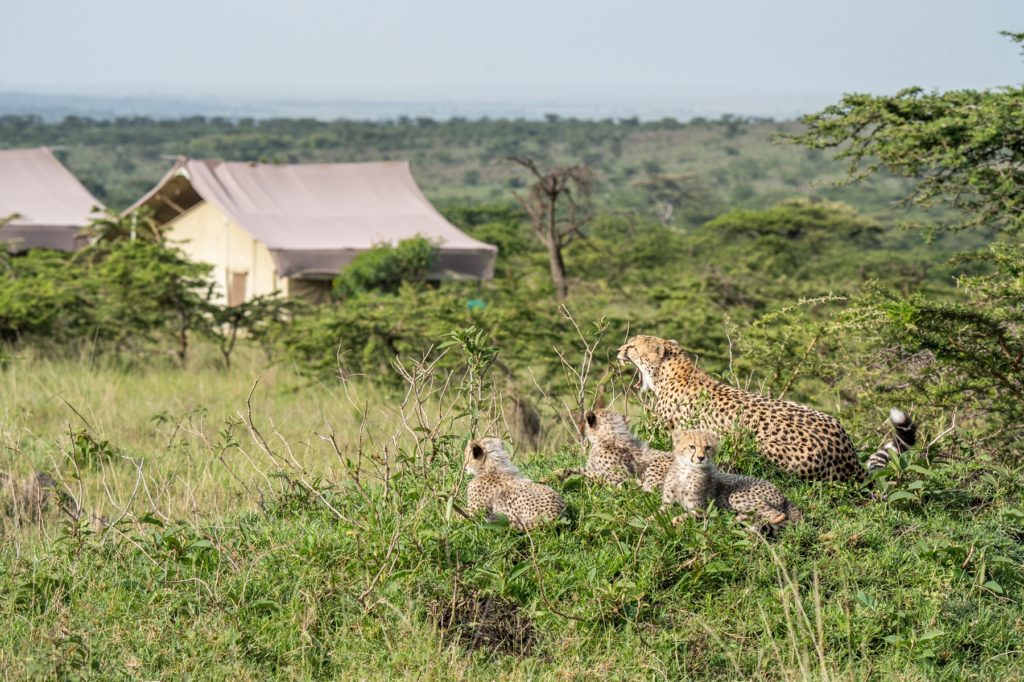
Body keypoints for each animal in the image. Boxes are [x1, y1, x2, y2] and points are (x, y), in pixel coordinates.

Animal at [661, 428, 802, 528]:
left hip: (736, 496)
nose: (701, 458)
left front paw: (666, 525)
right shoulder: (667, 503)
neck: (686, 470)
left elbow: (680, 517)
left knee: (778, 515)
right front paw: (657, 523)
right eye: (692, 446)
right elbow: (659, 513)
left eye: (707, 447)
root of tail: (782, 494)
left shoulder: (701, 510)